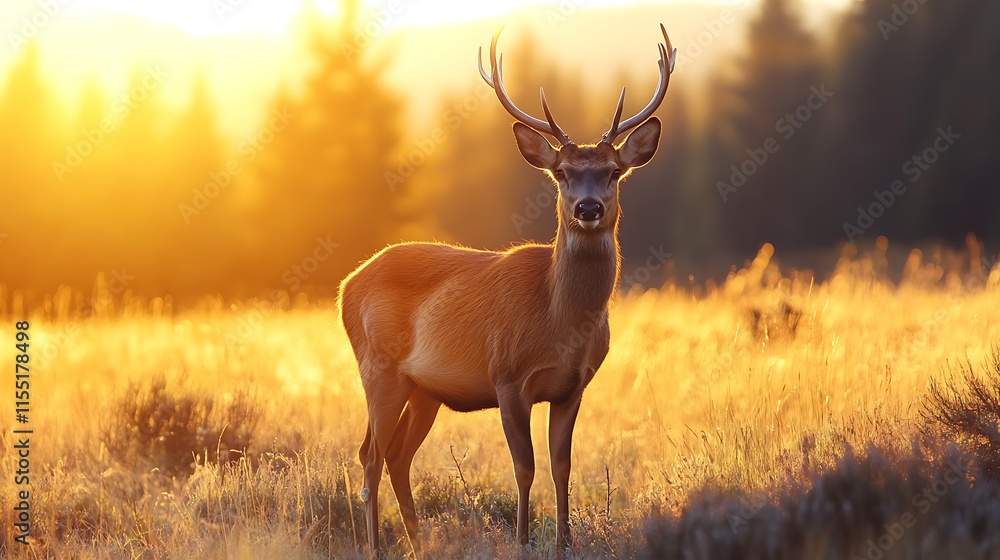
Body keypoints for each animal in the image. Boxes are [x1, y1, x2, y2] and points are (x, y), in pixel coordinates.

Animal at [339, 23, 676, 557]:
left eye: (613, 171)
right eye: (561, 173)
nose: (588, 208)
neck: (559, 320)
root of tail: (345, 287)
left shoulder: (573, 385)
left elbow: (561, 466)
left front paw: (563, 542)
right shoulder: (507, 376)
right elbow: (524, 465)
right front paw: (522, 540)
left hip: (424, 388)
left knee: (397, 455)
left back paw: (419, 542)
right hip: (378, 367)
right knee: (369, 454)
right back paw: (375, 546)